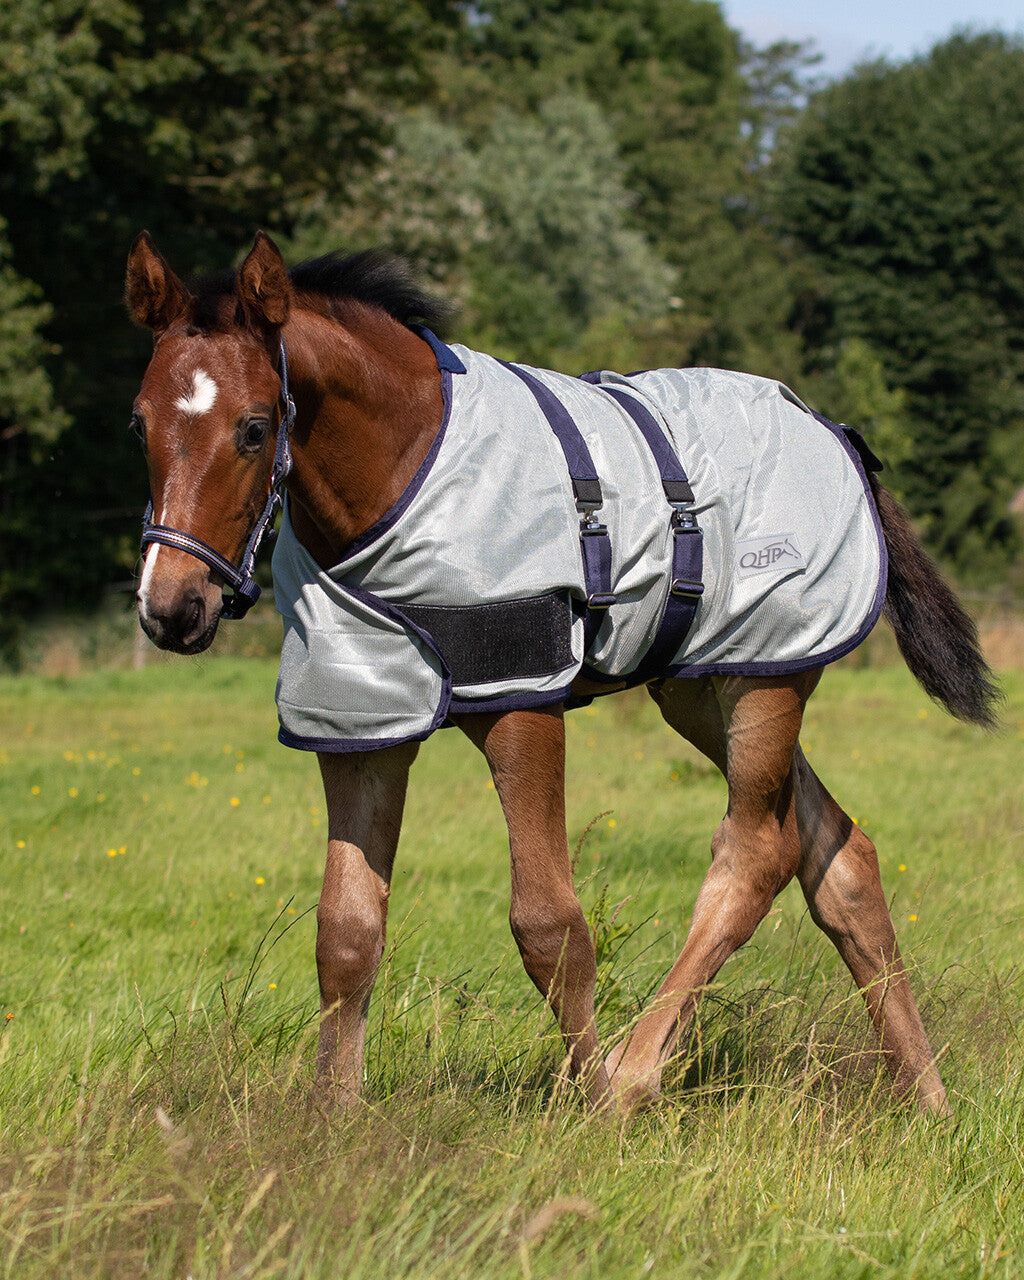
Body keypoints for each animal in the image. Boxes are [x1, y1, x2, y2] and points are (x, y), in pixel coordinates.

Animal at [126, 229, 999, 1116]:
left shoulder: (523, 702)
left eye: (254, 427)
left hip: (769, 681)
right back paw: (926, 1097)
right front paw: (333, 1119)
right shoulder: (362, 720)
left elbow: (549, 924)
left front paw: (588, 1104)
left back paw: (635, 1076)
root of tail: (835, 430)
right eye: (139, 424)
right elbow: (346, 931)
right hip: (702, 685)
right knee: (838, 852)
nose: (172, 607)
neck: (407, 471)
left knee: (759, 851)